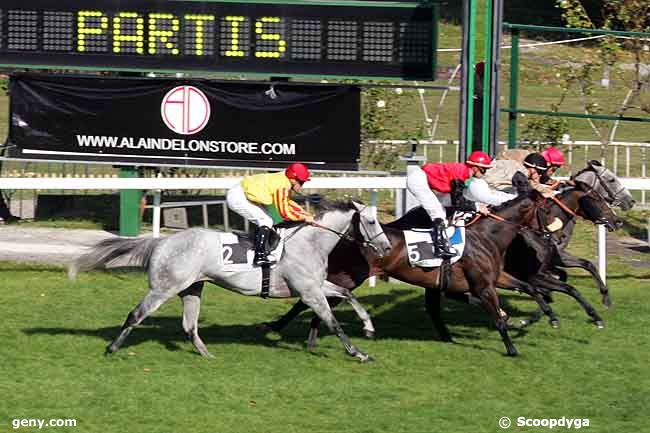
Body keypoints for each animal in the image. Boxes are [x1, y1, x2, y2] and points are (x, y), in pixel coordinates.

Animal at [69, 200, 390, 362]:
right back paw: (112, 349)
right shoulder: (309, 292)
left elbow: (348, 294)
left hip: (191, 288)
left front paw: (369, 327)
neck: (308, 243)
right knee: (136, 314)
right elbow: (334, 323)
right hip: (164, 288)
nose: (386, 247)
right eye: (370, 221)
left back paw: (207, 354)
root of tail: (161, 241)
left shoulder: (315, 286)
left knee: (189, 325)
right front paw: (359, 353)